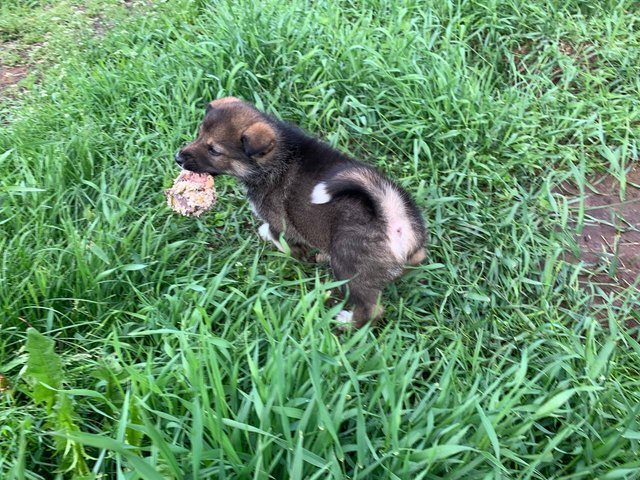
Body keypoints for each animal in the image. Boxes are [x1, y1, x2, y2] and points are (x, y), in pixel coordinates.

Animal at [175, 97, 428, 330]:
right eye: (199, 135)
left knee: (371, 309)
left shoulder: (280, 224)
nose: (178, 158)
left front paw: (277, 243)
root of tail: (392, 217)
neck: (275, 158)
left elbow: (281, 241)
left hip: (350, 267)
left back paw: (346, 322)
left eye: (214, 150)